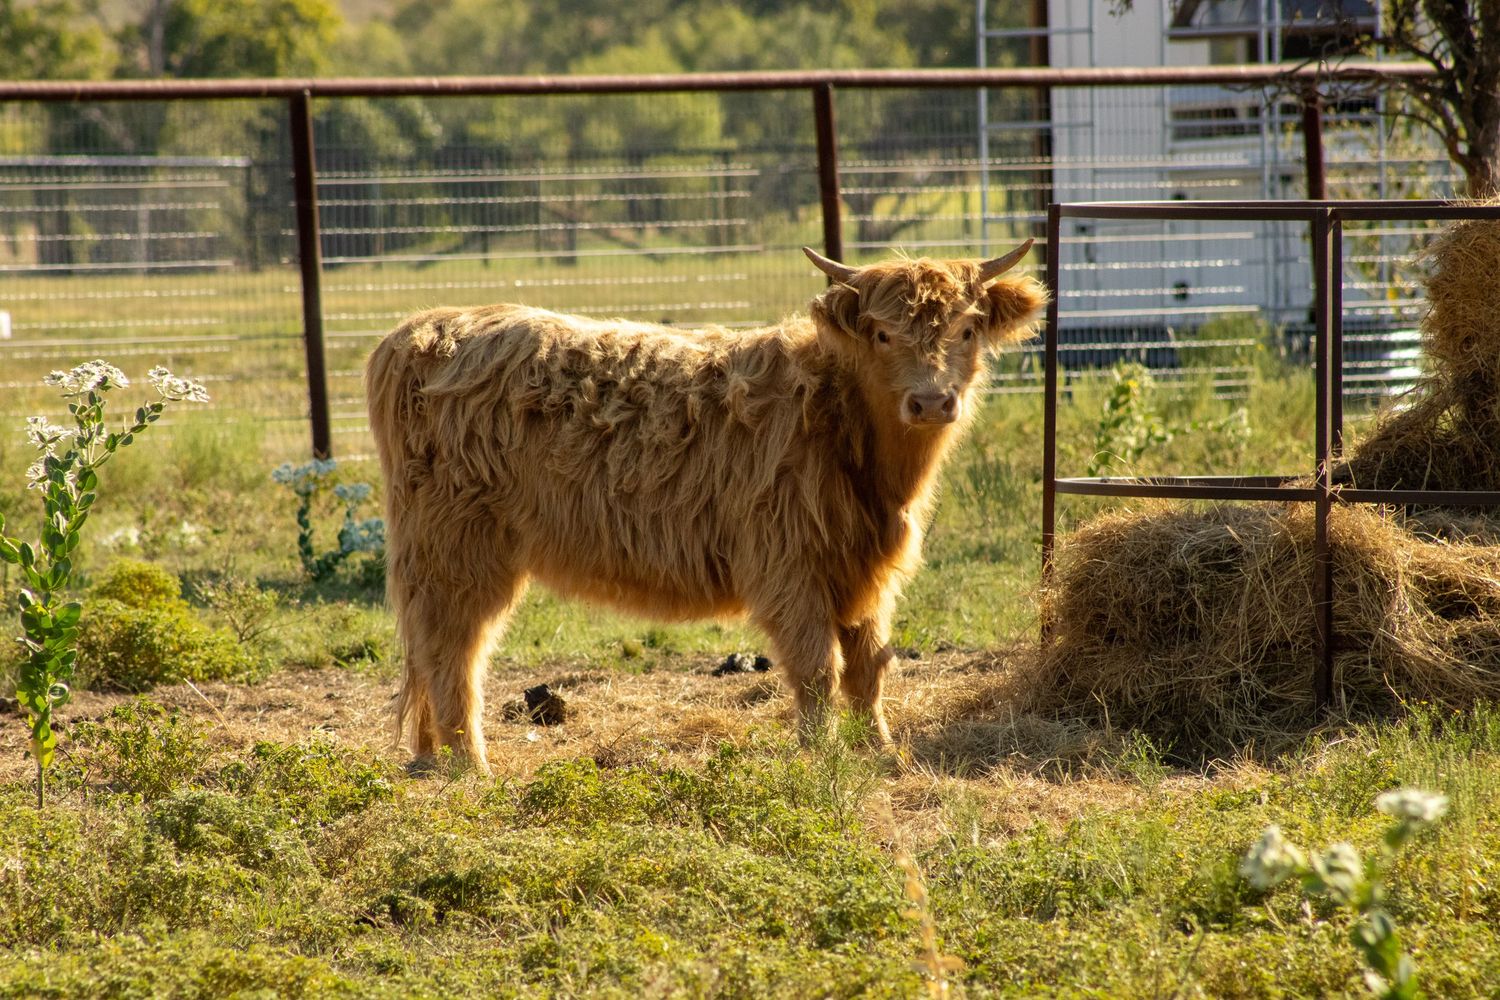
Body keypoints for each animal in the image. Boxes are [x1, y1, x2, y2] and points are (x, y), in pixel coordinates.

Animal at [365, 242, 1047, 773]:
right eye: (883, 334)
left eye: (966, 330)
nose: (931, 402)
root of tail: (421, 330)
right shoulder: (787, 564)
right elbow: (817, 668)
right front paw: (824, 755)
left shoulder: (864, 570)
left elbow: (868, 666)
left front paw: (880, 751)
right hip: (458, 549)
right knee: (454, 651)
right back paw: (470, 766)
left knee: (429, 651)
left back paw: (432, 756)